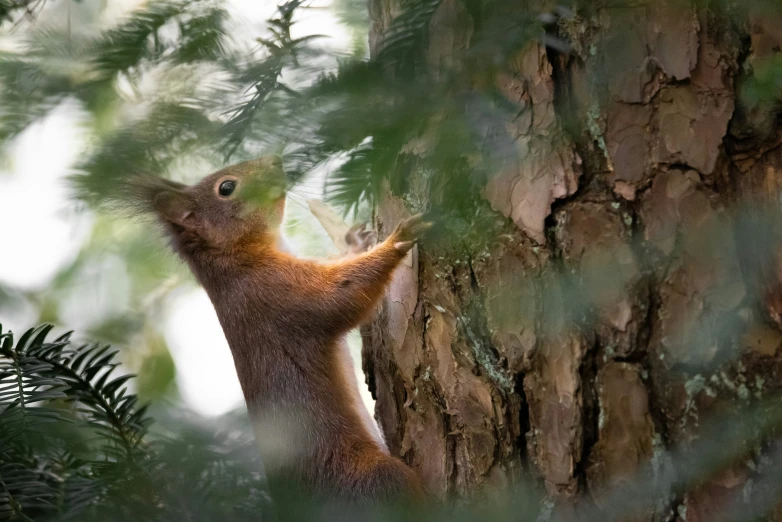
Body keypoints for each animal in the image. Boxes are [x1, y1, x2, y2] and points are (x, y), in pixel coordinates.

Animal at [127, 155, 428, 504]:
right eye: (226, 188)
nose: (276, 160)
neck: (236, 259)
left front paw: (357, 242)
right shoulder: (275, 295)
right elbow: (343, 295)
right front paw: (397, 240)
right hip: (374, 478)